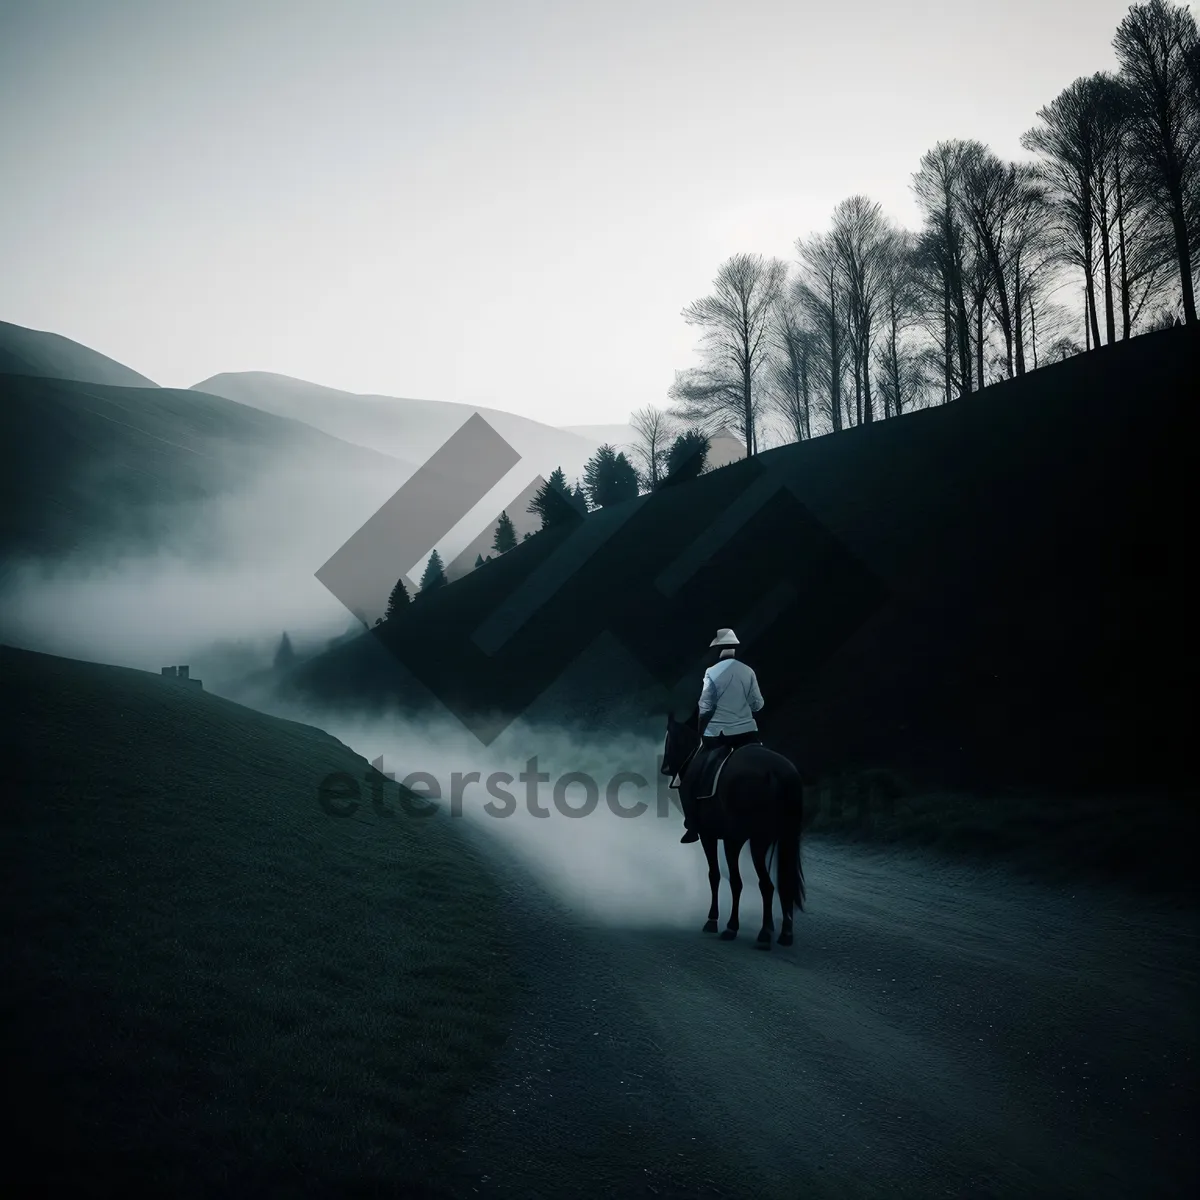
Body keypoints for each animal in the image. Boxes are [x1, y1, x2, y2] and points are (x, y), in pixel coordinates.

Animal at [662, 710, 811, 945]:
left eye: (668, 739)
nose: (665, 767)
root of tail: (777, 773)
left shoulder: (710, 836)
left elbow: (717, 876)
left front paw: (714, 920)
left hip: (752, 840)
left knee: (759, 884)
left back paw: (751, 930)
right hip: (785, 838)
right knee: (782, 883)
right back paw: (784, 932)